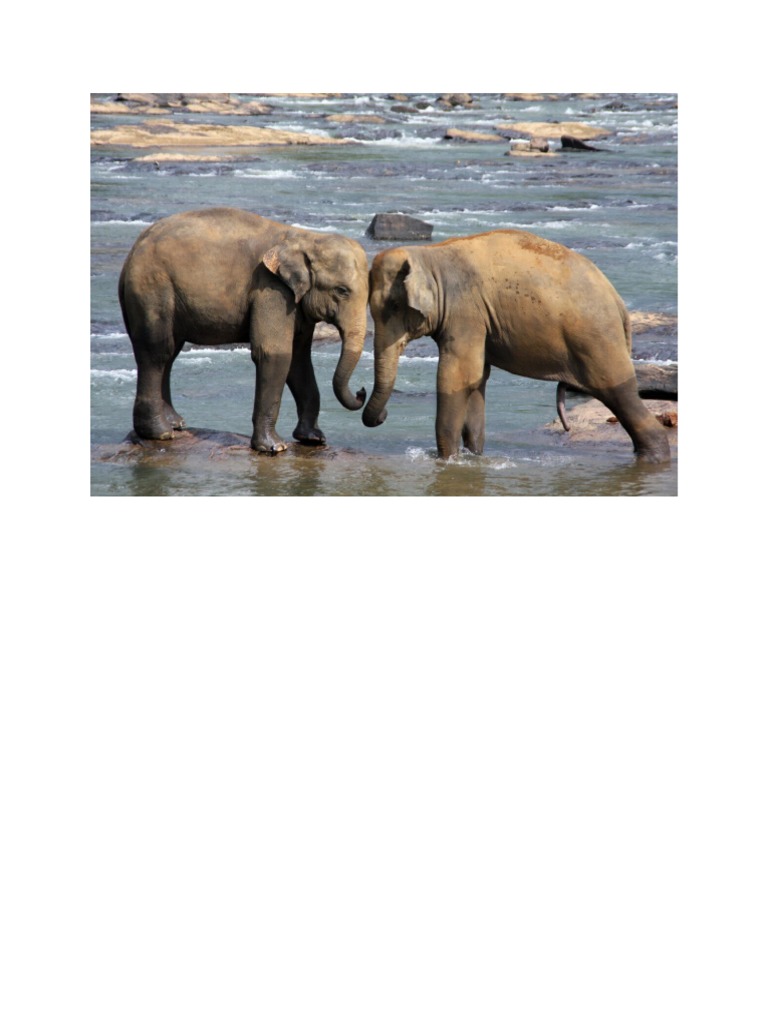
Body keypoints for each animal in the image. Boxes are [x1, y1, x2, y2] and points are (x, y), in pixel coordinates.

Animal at [118, 207, 369, 453]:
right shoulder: (270, 289)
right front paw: (275, 447)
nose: (361, 392)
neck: (307, 237)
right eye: (342, 290)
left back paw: (175, 424)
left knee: (170, 352)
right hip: (152, 289)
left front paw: (313, 439)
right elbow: (275, 354)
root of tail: (131, 253)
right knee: (157, 351)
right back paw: (160, 433)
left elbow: (299, 359)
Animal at [362, 229, 671, 463]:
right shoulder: (477, 319)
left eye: (394, 305)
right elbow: (477, 380)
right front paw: (474, 457)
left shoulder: (465, 312)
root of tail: (618, 302)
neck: (429, 254)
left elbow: (457, 376)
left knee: (619, 393)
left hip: (598, 339)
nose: (383, 414)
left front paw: (448, 461)